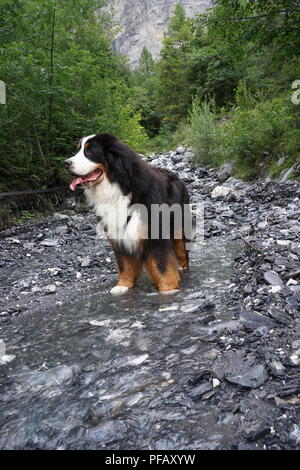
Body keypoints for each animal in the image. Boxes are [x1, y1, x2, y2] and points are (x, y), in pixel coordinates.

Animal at [64, 133, 190, 294]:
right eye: (79, 149)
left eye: (89, 151)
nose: (66, 163)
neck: (116, 189)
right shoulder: (118, 234)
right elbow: (125, 264)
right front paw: (123, 285)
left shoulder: (154, 235)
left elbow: (162, 264)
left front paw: (168, 287)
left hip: (179, 227)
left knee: (181, 251)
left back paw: (181, 268)